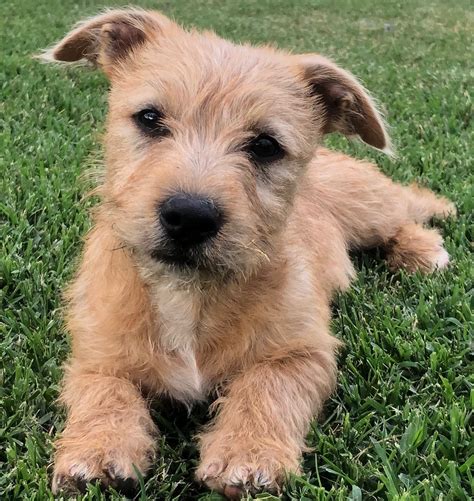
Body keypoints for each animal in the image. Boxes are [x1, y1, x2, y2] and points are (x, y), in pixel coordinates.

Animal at [41, 8, 456, 500]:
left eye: (265, 145)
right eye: (149, 118)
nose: (190, 216)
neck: (188, 292)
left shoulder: (303, 352)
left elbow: (267, 385)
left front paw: (247, 452)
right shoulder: (95, 355)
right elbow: (102, 390)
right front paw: (99, 448)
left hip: (367, 206)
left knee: (407, 206)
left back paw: (423, 248)